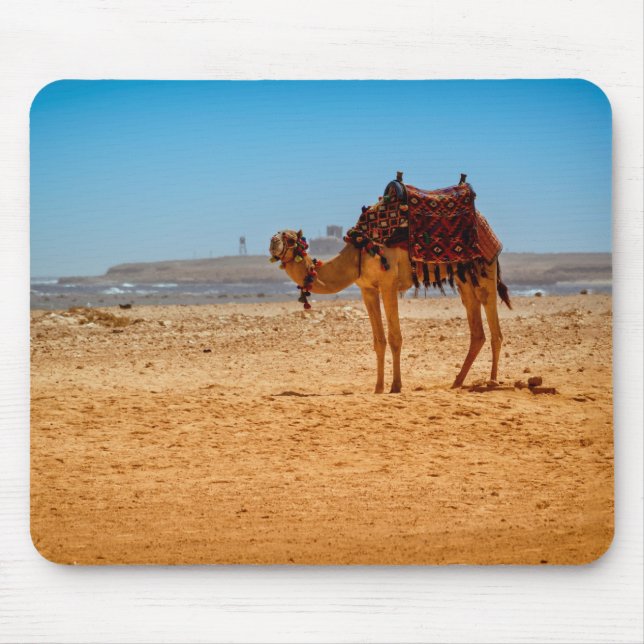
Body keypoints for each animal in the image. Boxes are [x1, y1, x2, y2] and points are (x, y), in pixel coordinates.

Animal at [269, 229, 510, 394]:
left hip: (484, 268)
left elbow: (395, 338)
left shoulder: (388, 284)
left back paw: (492, 380)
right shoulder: (367, 289)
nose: (272, 241)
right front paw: (377, 387)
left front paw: (395, 385)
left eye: (290, 238)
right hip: (464, 277)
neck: (357, 254)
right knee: (476, 324)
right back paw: (457, 381)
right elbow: (379, 341)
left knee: (492, 317)